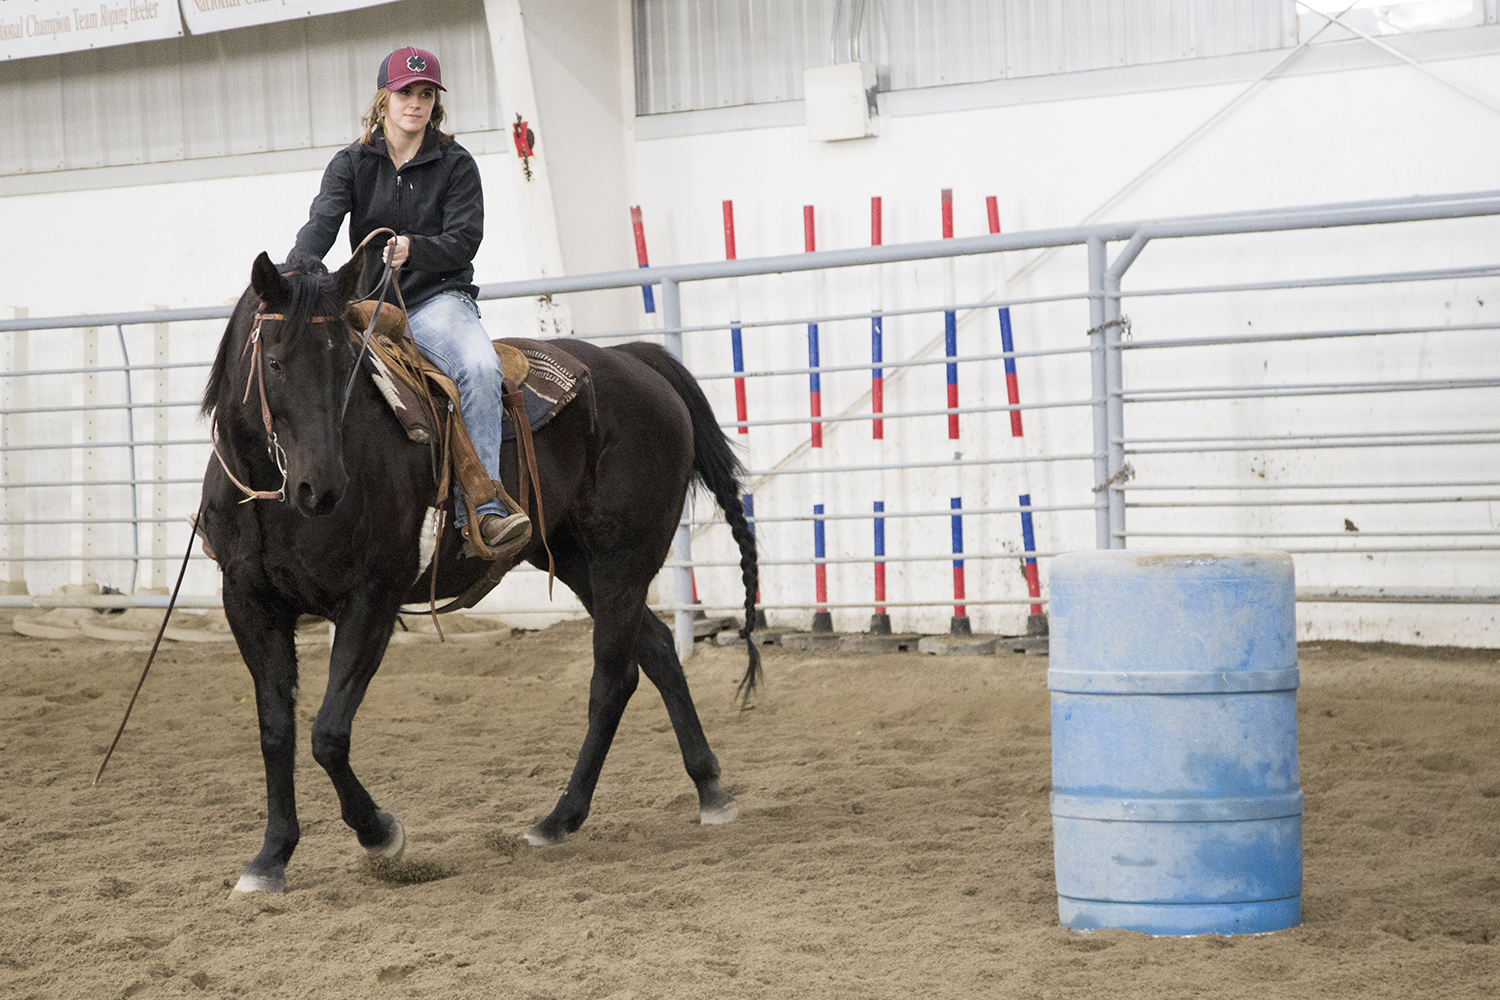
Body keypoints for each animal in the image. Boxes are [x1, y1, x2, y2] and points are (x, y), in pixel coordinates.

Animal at [196, 254, 762, 893]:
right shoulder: (249, 605)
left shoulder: (371, 599)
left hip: (622, 560)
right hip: (579, 562)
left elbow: (328, 733)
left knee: (612, 681)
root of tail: (636, 362)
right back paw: (709, 789)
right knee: (661, 650)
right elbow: (276, 731)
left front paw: (380, 833)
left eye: (346, 365)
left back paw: (559, 819)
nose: (323, 488)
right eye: (274, 363)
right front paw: (270, 857)